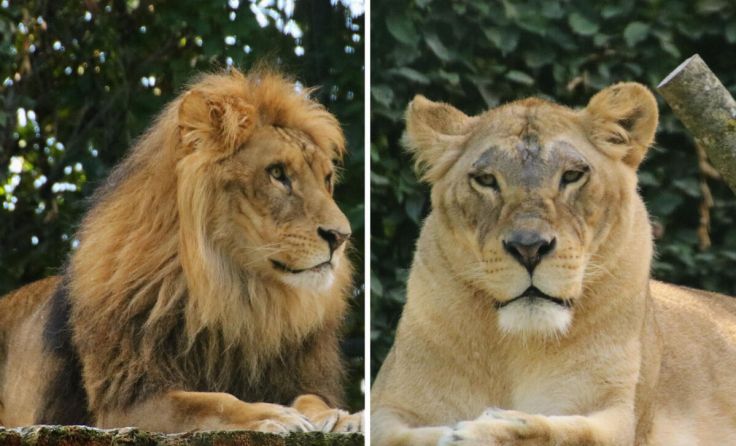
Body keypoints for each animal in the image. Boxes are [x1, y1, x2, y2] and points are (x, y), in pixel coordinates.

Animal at [0, 68, 362, 433]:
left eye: (327, 179)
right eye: (277, 173)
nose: (341, 236)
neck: (241, 297)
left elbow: (312, 398)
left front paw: (342, 416)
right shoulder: (125, 402)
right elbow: (211, 401)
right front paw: (271, 414)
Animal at [371, 83, 736, 445]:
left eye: (572, 176)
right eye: (486, 180)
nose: (529, 249)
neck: (517, 347)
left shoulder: (621, 416)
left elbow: (564, 431)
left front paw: (486, 427)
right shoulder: (387, 404)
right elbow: (398, 436)